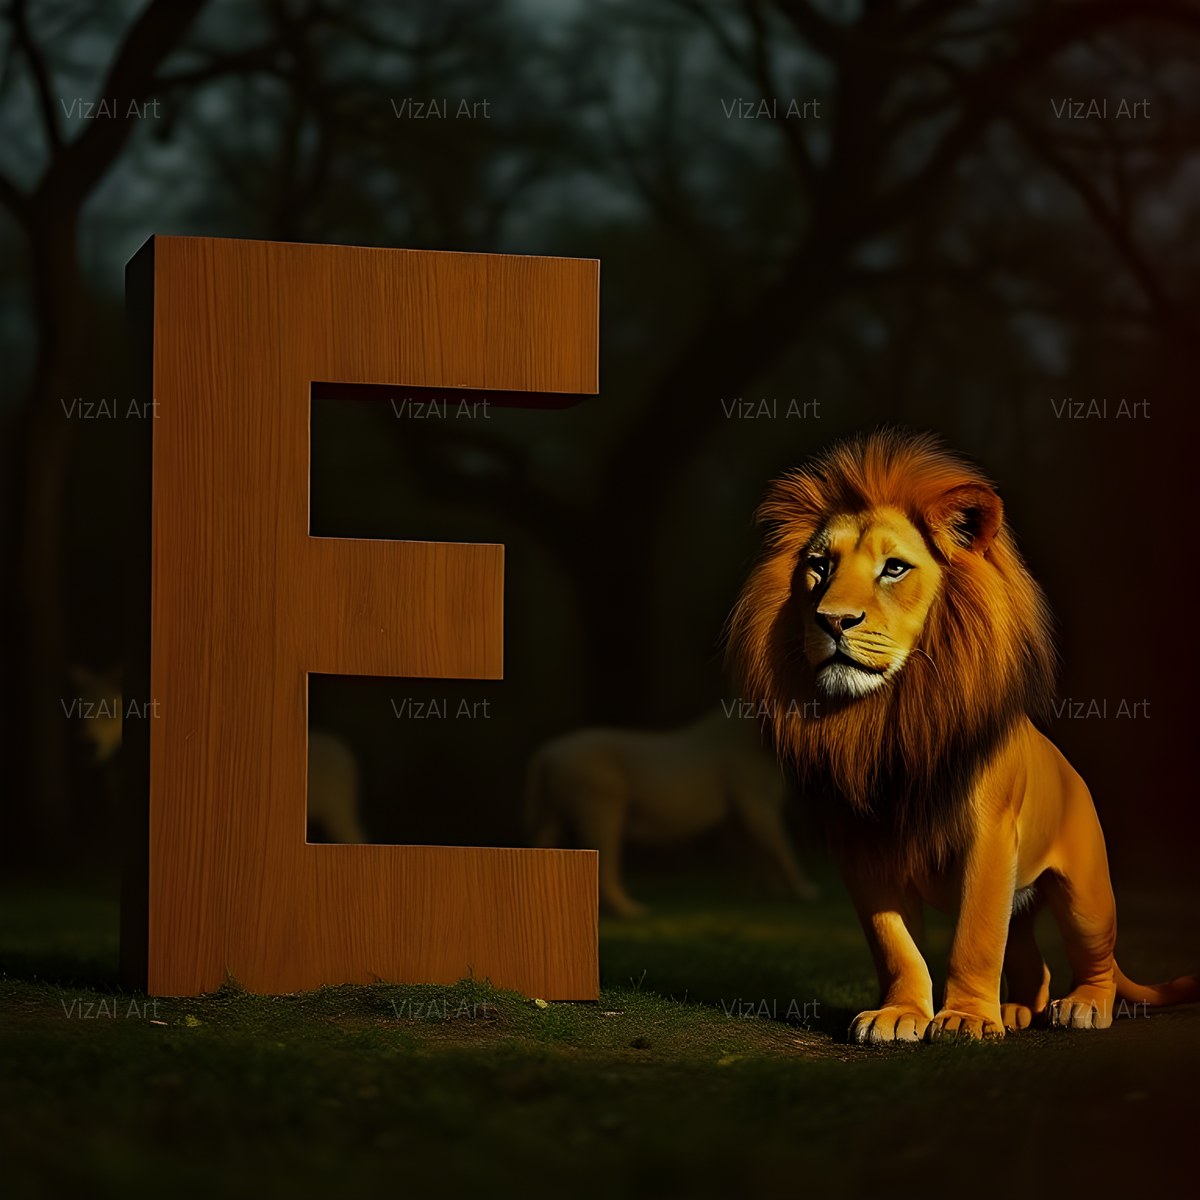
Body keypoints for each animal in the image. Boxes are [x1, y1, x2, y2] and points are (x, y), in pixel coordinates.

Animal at [524, 709, 820, 917]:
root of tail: (549, 752)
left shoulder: (738, 816)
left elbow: (754, 853)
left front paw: (757, 895)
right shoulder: (756, 802)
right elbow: (781, 847)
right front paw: (804, 893)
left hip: (554, 811)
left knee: (544, 843)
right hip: (599, 805)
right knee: (604, 859)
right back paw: (631, 912)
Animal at [728, 429, 1197, 1042]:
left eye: (894, 569)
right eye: (818, 566)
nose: (831, 620)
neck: (888, 716)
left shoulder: (990, 834)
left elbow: (974, 938)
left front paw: (965, 1019)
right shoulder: (863, 848)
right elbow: (895, 944)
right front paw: (901, 1014)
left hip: (1086, 893)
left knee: (1094, 956)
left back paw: (1083, 1007)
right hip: (1025, 902)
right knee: (1031, 958)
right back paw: (1019, 1010)